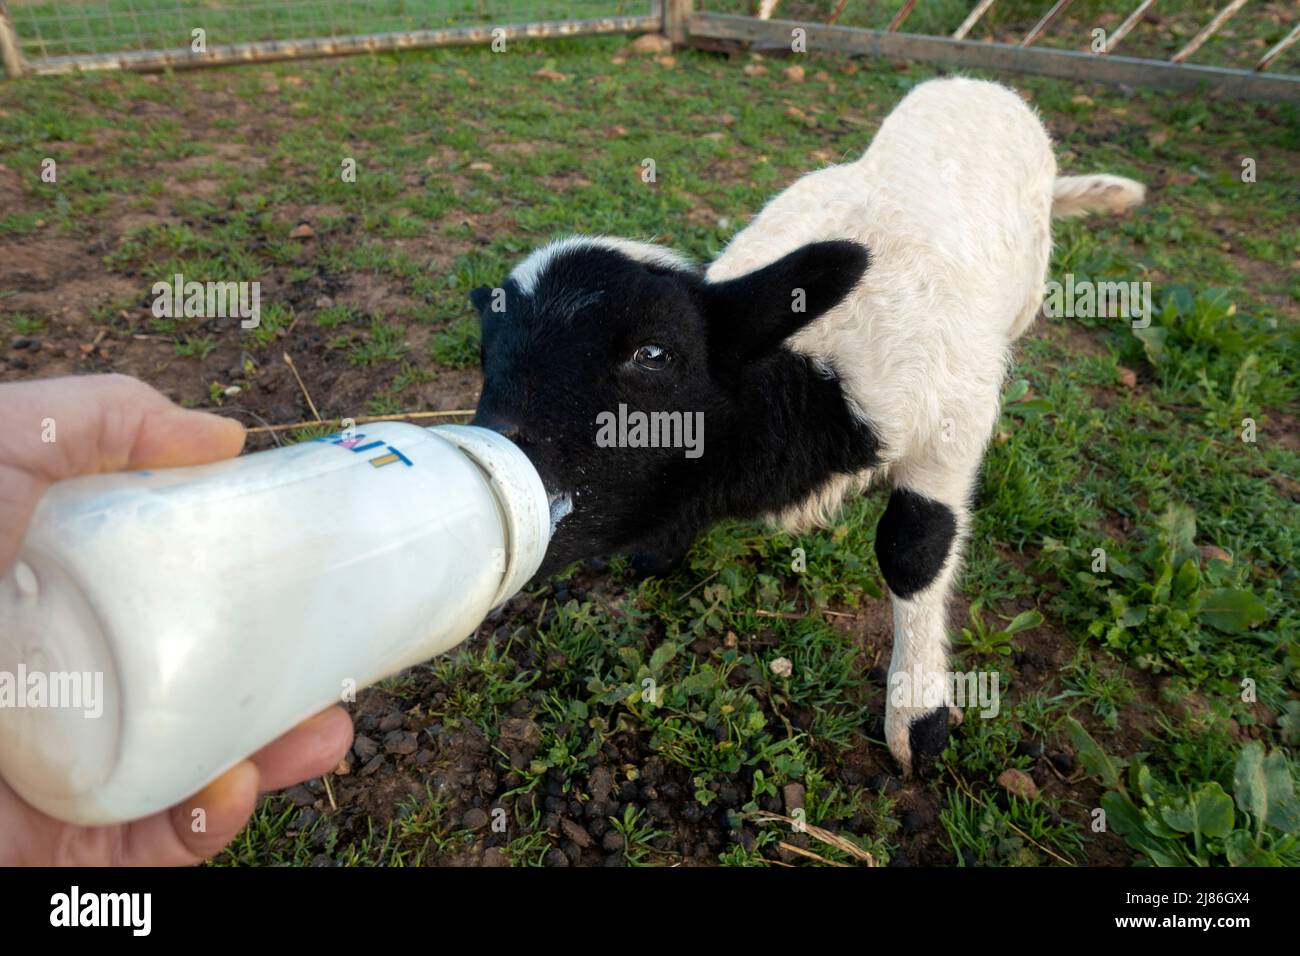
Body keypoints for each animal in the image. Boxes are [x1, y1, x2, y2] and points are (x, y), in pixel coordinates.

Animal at [467, 76, 1138, 780]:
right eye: (486, 354)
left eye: (653, 354)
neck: (818, 373)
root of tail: (980, 85)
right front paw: (661, 548)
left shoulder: (952, 428)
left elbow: (913, 549)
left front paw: (918, 715)